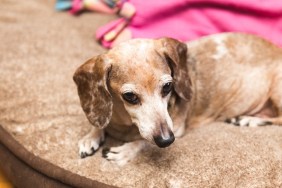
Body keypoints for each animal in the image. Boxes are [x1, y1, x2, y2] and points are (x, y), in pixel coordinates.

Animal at [73, 33, 282, 165]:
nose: (166, 140)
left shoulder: (178, 127)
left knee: (279, 119)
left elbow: (144, 141)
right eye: (130, 96)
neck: (124, 122)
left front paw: (126, 150)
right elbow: (99, 123)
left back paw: (249, 120)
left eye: (168, 86)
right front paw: (91, 136)